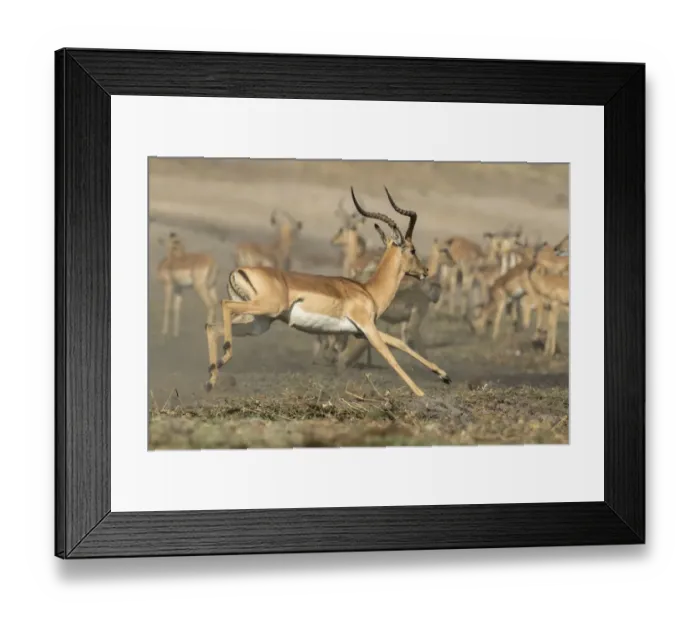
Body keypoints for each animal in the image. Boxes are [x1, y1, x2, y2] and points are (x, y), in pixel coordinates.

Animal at [204, 186, 452, 397]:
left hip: (257, 322)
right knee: (224, 307)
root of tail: (239, 270)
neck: (368, 291)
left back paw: (211, 380)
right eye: (412, 249)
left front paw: (444, 375)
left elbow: (399, 344)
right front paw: (420, 392)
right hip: (264, 309)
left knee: (213, 327)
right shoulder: (367, 327)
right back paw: (224, 357)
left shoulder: (360, 331)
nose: (425, 271)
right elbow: (391, 356)